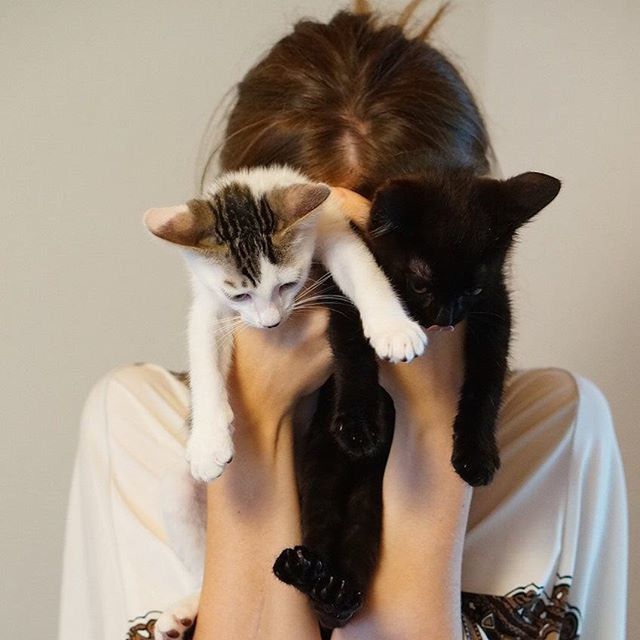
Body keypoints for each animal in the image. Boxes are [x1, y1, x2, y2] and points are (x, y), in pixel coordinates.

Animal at [276, 168, 560, 628]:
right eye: (420, 283)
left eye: (472, 289)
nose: (446, 318)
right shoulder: (343, 289)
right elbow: (352, 347)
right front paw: (358, 422)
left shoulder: (495, 310)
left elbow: (487, 383)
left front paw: (477, 455)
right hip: (320, 465)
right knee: (319, 515)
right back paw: (309, 572)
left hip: (372, 499)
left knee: (358, 551)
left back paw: (338, 591)